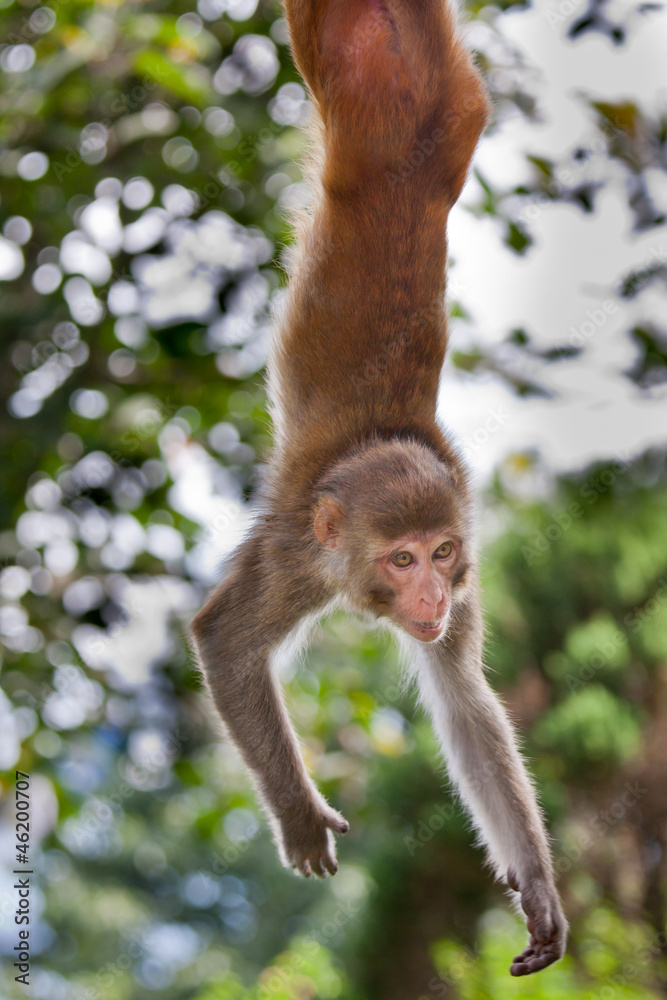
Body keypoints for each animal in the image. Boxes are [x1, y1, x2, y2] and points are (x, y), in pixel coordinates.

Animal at [191, 0, 568, 978]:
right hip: (332, 57)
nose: (432, 596)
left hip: (446, 90)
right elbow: (224, 638)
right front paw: (298, 817)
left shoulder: (470, 562)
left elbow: (463, 699)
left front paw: (537, 886)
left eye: (440, 553)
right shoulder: (295, 555)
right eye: (401, 560)